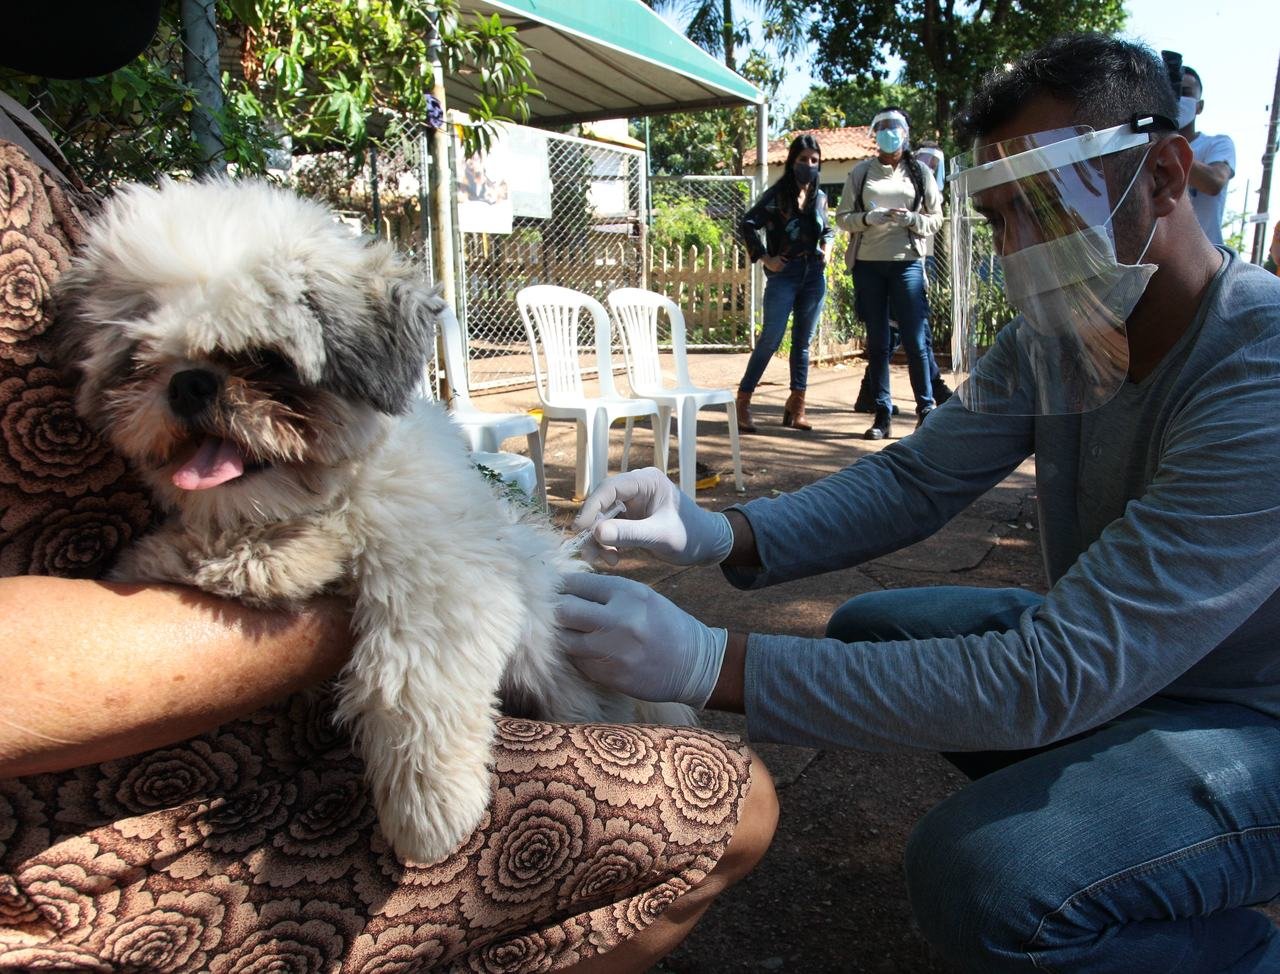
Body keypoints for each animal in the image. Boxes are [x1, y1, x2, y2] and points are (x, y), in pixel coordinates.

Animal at [52, 179, 691, 860]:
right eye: (138, 360)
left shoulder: (450, 581)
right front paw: (247, 557)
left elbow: (406, 677)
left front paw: (428, 808)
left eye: (265, 360)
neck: (333, 488)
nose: (190, 384)